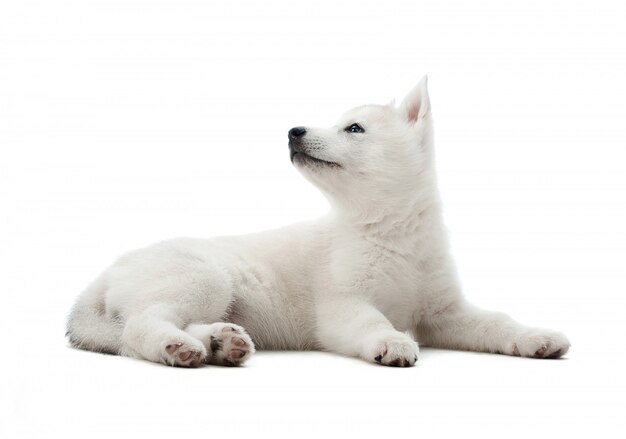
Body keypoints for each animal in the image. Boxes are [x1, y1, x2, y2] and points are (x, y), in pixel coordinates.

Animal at [66, 77, 568, 366]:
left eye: (354, 129)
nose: (294, 131)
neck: (391, 232)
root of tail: (101, 276)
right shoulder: (342, 305)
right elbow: (371, 322)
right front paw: (392, 343)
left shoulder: (445, 312)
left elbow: (496, 322)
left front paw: (534, 336)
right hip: (204, 278)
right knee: (137, 327)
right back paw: (179, 347)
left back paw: (221, 343)